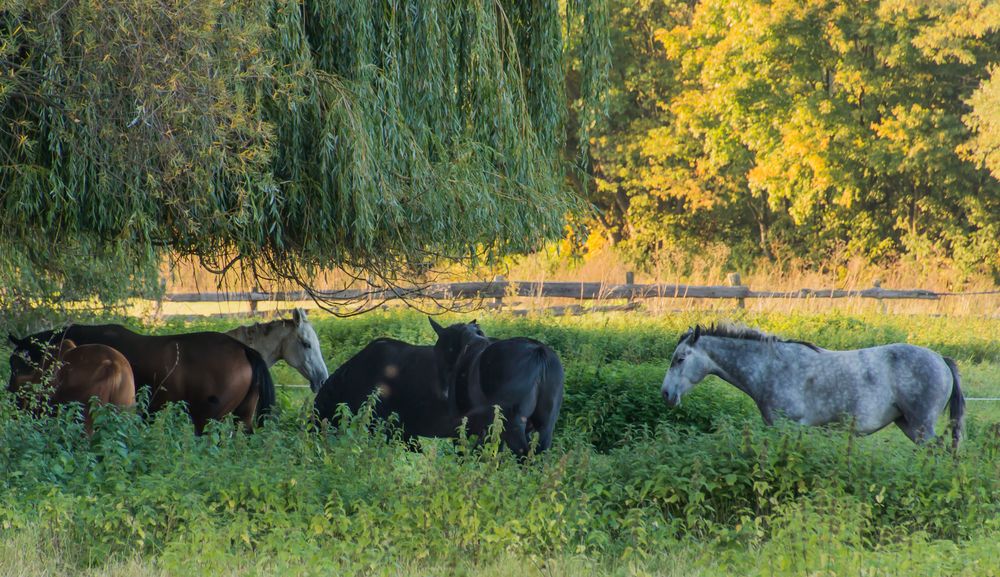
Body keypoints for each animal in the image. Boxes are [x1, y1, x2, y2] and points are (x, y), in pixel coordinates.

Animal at [428, 316, 564, 454]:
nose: (442, 392)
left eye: (436, 350)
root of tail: (538, 352)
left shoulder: (460, 426)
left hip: (513, 428)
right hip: (545, 428)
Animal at [660, 322, 964, 448]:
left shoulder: (787, 426)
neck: (771, 367)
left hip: (922, 425)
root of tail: (941, 359)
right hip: (908, 424)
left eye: (680, 358)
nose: (666, 394)